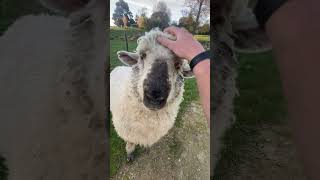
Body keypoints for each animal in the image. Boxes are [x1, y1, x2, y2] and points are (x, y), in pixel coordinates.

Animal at [110, 28, 195, 161]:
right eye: (142, 56)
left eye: (178, 65)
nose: (155, 96)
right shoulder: (127, 131)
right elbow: (130, 143)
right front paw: (129, 154)